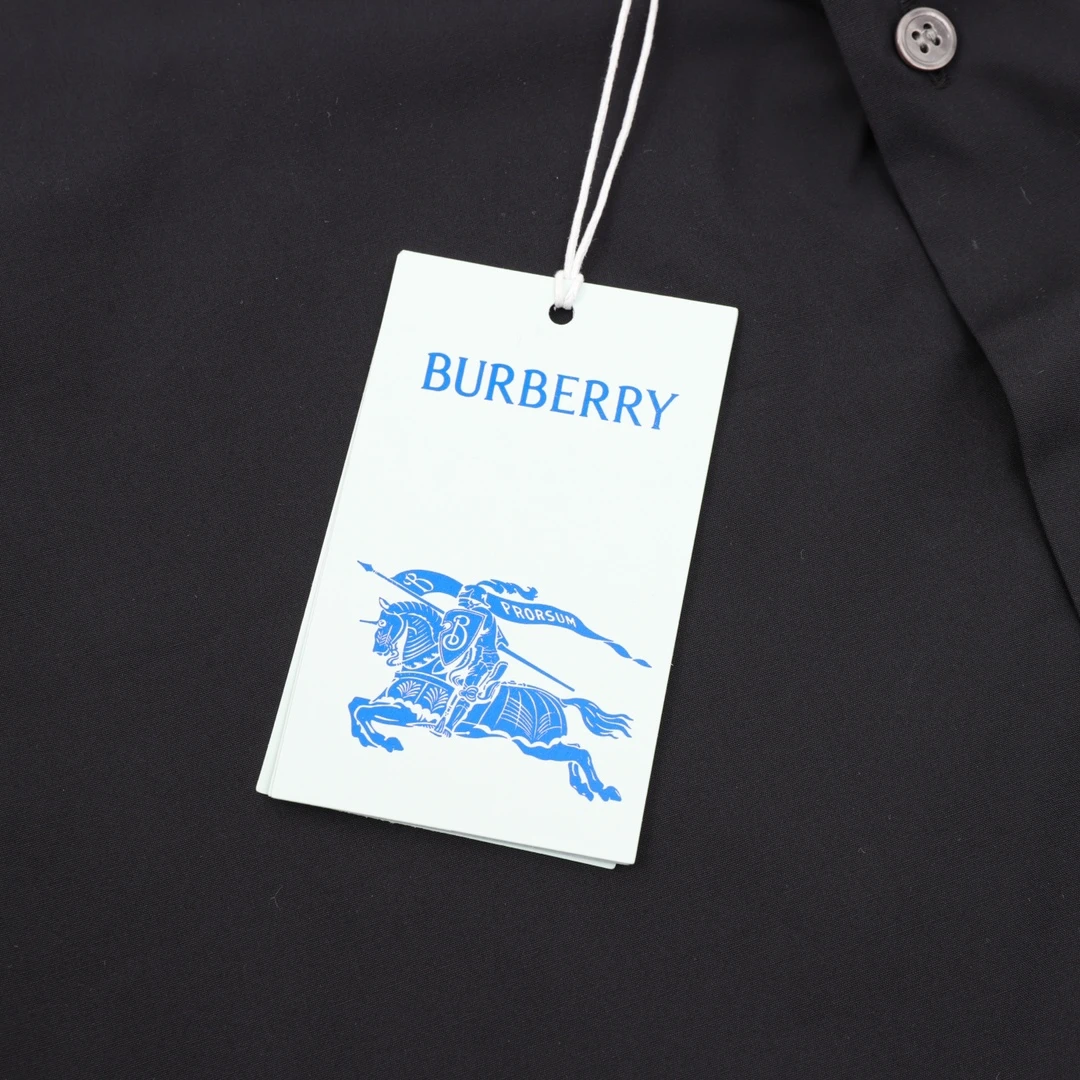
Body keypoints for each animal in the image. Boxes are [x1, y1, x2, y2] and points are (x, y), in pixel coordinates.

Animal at [348, 599, 632, 802]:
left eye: (384, 624)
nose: (378, 650)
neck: (429, 667)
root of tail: (561, 701)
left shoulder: (410, 713)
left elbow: (363, 711)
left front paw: (383, 740)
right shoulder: (393, 704)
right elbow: (356, 705)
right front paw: (366, 738)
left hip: (538, 746)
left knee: (581, 753)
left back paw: (601, 789)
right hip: (544, 746)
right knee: (575, 753)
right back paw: (584, 788)